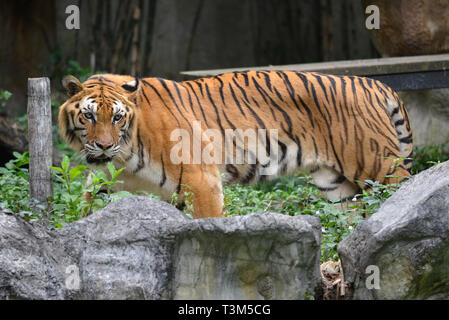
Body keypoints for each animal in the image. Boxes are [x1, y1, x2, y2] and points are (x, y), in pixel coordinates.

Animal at [59, 71, 412, 219]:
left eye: (118, 118)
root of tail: (375, 84)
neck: (125, 154)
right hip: (337, 187)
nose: (104, 146)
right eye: (89, 116)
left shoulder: (201, 180)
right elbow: (84, 211)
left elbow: (208, 224)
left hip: (380, 168)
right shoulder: (105, 183)